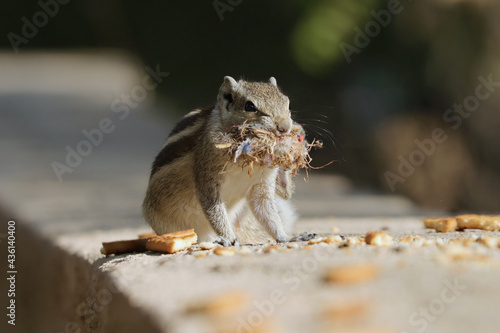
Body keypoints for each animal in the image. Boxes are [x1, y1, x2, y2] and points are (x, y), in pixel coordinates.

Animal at [143, 76, 316, 245]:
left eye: (288, 104)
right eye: (249, 106)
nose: (285, 127)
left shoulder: (262, 184)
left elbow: (267, 212)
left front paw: (286, 237)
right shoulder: (208, 175)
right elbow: (213, 209)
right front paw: (229, 238)